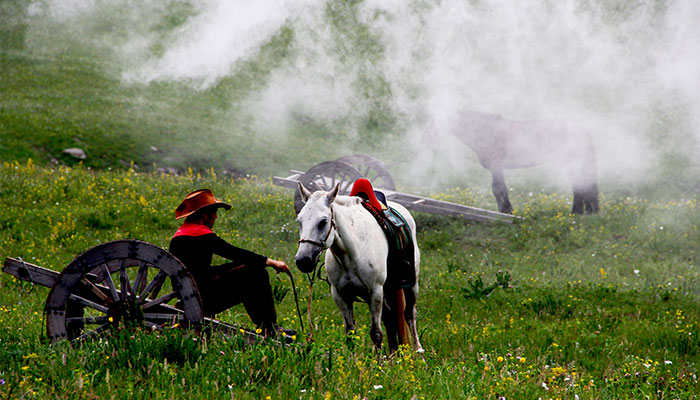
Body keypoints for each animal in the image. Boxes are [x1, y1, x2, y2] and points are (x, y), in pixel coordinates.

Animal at [294, 183, 424, 352]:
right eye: (299, 220)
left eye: (323, 221)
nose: (303, 260)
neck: (351, 253)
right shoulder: (340, 295)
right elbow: (350, 334)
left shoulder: (375, 293)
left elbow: (376, 334)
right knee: (390, 317)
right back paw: (393, 352)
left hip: (411, 285)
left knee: (409, 313)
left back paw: (417, 349)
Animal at [452, 109, 600, 216]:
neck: (486, 132)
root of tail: (583, 131)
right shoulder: (497, 170)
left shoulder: (496, 168)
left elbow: (498, 189)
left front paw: (507, 210)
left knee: (579, 187)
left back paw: (576, 212)